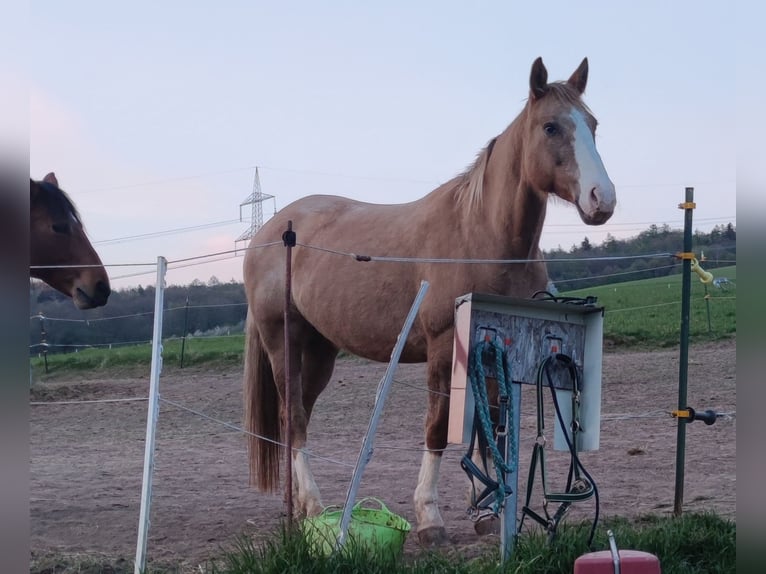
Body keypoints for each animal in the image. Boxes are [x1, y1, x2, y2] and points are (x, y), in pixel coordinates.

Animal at [244, 56, 616, 548]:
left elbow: (490, 425)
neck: (480, 235)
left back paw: (303, 507)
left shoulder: (495, 345)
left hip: (320, 352)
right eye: (551, 126)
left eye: (593, 125)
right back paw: (315, 506)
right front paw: (430, 518)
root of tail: (268, 234)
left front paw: (489, 510)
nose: (602, 199)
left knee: (298, 417)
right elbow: (440, 427)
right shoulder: (443, 348)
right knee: (293, 416)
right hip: (283, 342)